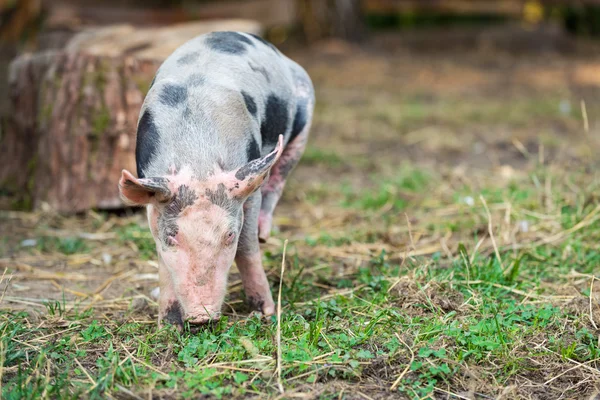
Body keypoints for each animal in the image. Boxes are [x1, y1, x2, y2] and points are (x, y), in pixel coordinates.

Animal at [116, 29, 314, 326]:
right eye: (173, 235)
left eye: (229, 234)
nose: (201, 317)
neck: (197, 157)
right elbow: (161, 256)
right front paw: (168, 324)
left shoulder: (247, 190)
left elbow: (247, 247)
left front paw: (265, 312)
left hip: (302, 120)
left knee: (278, 179)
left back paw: (264, 234)